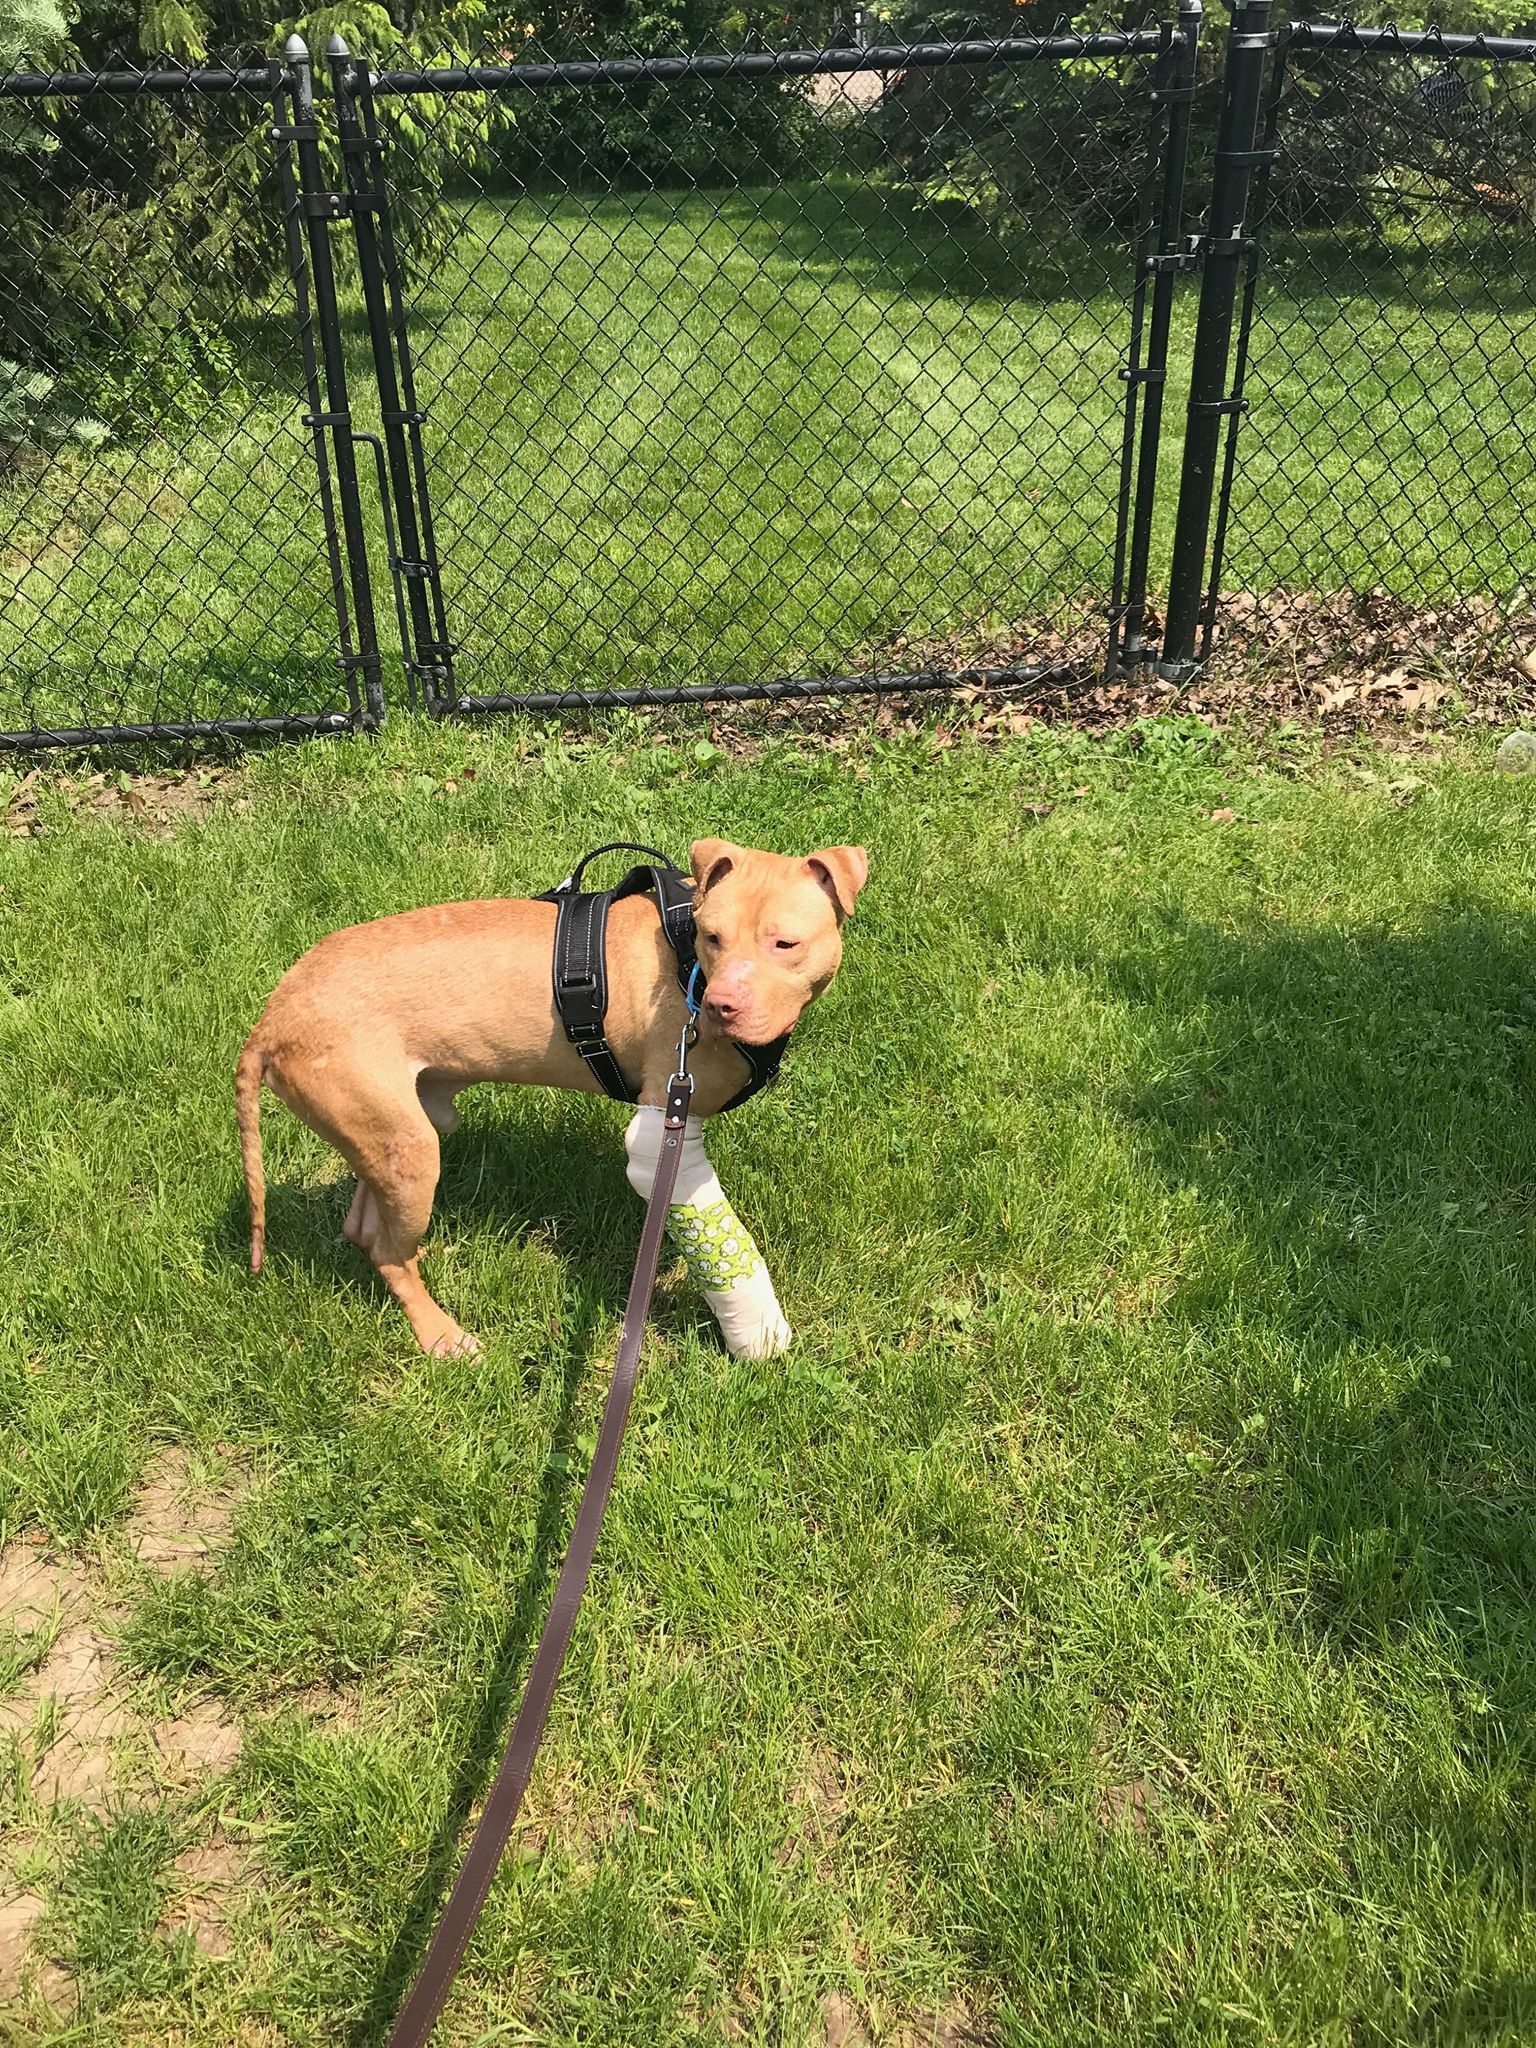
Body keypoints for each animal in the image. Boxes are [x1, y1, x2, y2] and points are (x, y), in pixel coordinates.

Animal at [236, 831, 872, 1359]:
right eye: (713, 937)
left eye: (785, 944)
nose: (720, 1006)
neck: (684, 959)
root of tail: (271, 1020)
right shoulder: (665, 1118)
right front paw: (756, 1331)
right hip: (406, 1144)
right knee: (390, 1253)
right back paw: (442, 1334)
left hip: (396, 1132)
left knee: (368, 1229)